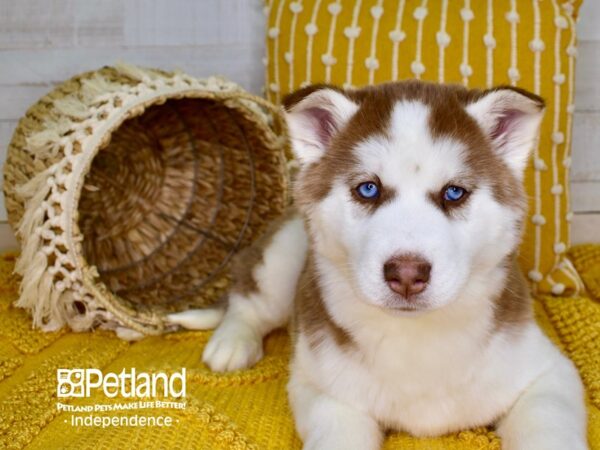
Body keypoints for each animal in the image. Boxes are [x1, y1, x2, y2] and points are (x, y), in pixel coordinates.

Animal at [169, 81, 584, 450]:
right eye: (368, 189)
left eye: (454, 193)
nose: (407, 273)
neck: (417, 336)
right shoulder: (325, 387)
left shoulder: (546, 372)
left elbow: (548, 424)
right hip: (284, 253)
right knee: (249, 299)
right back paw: (232, 342)